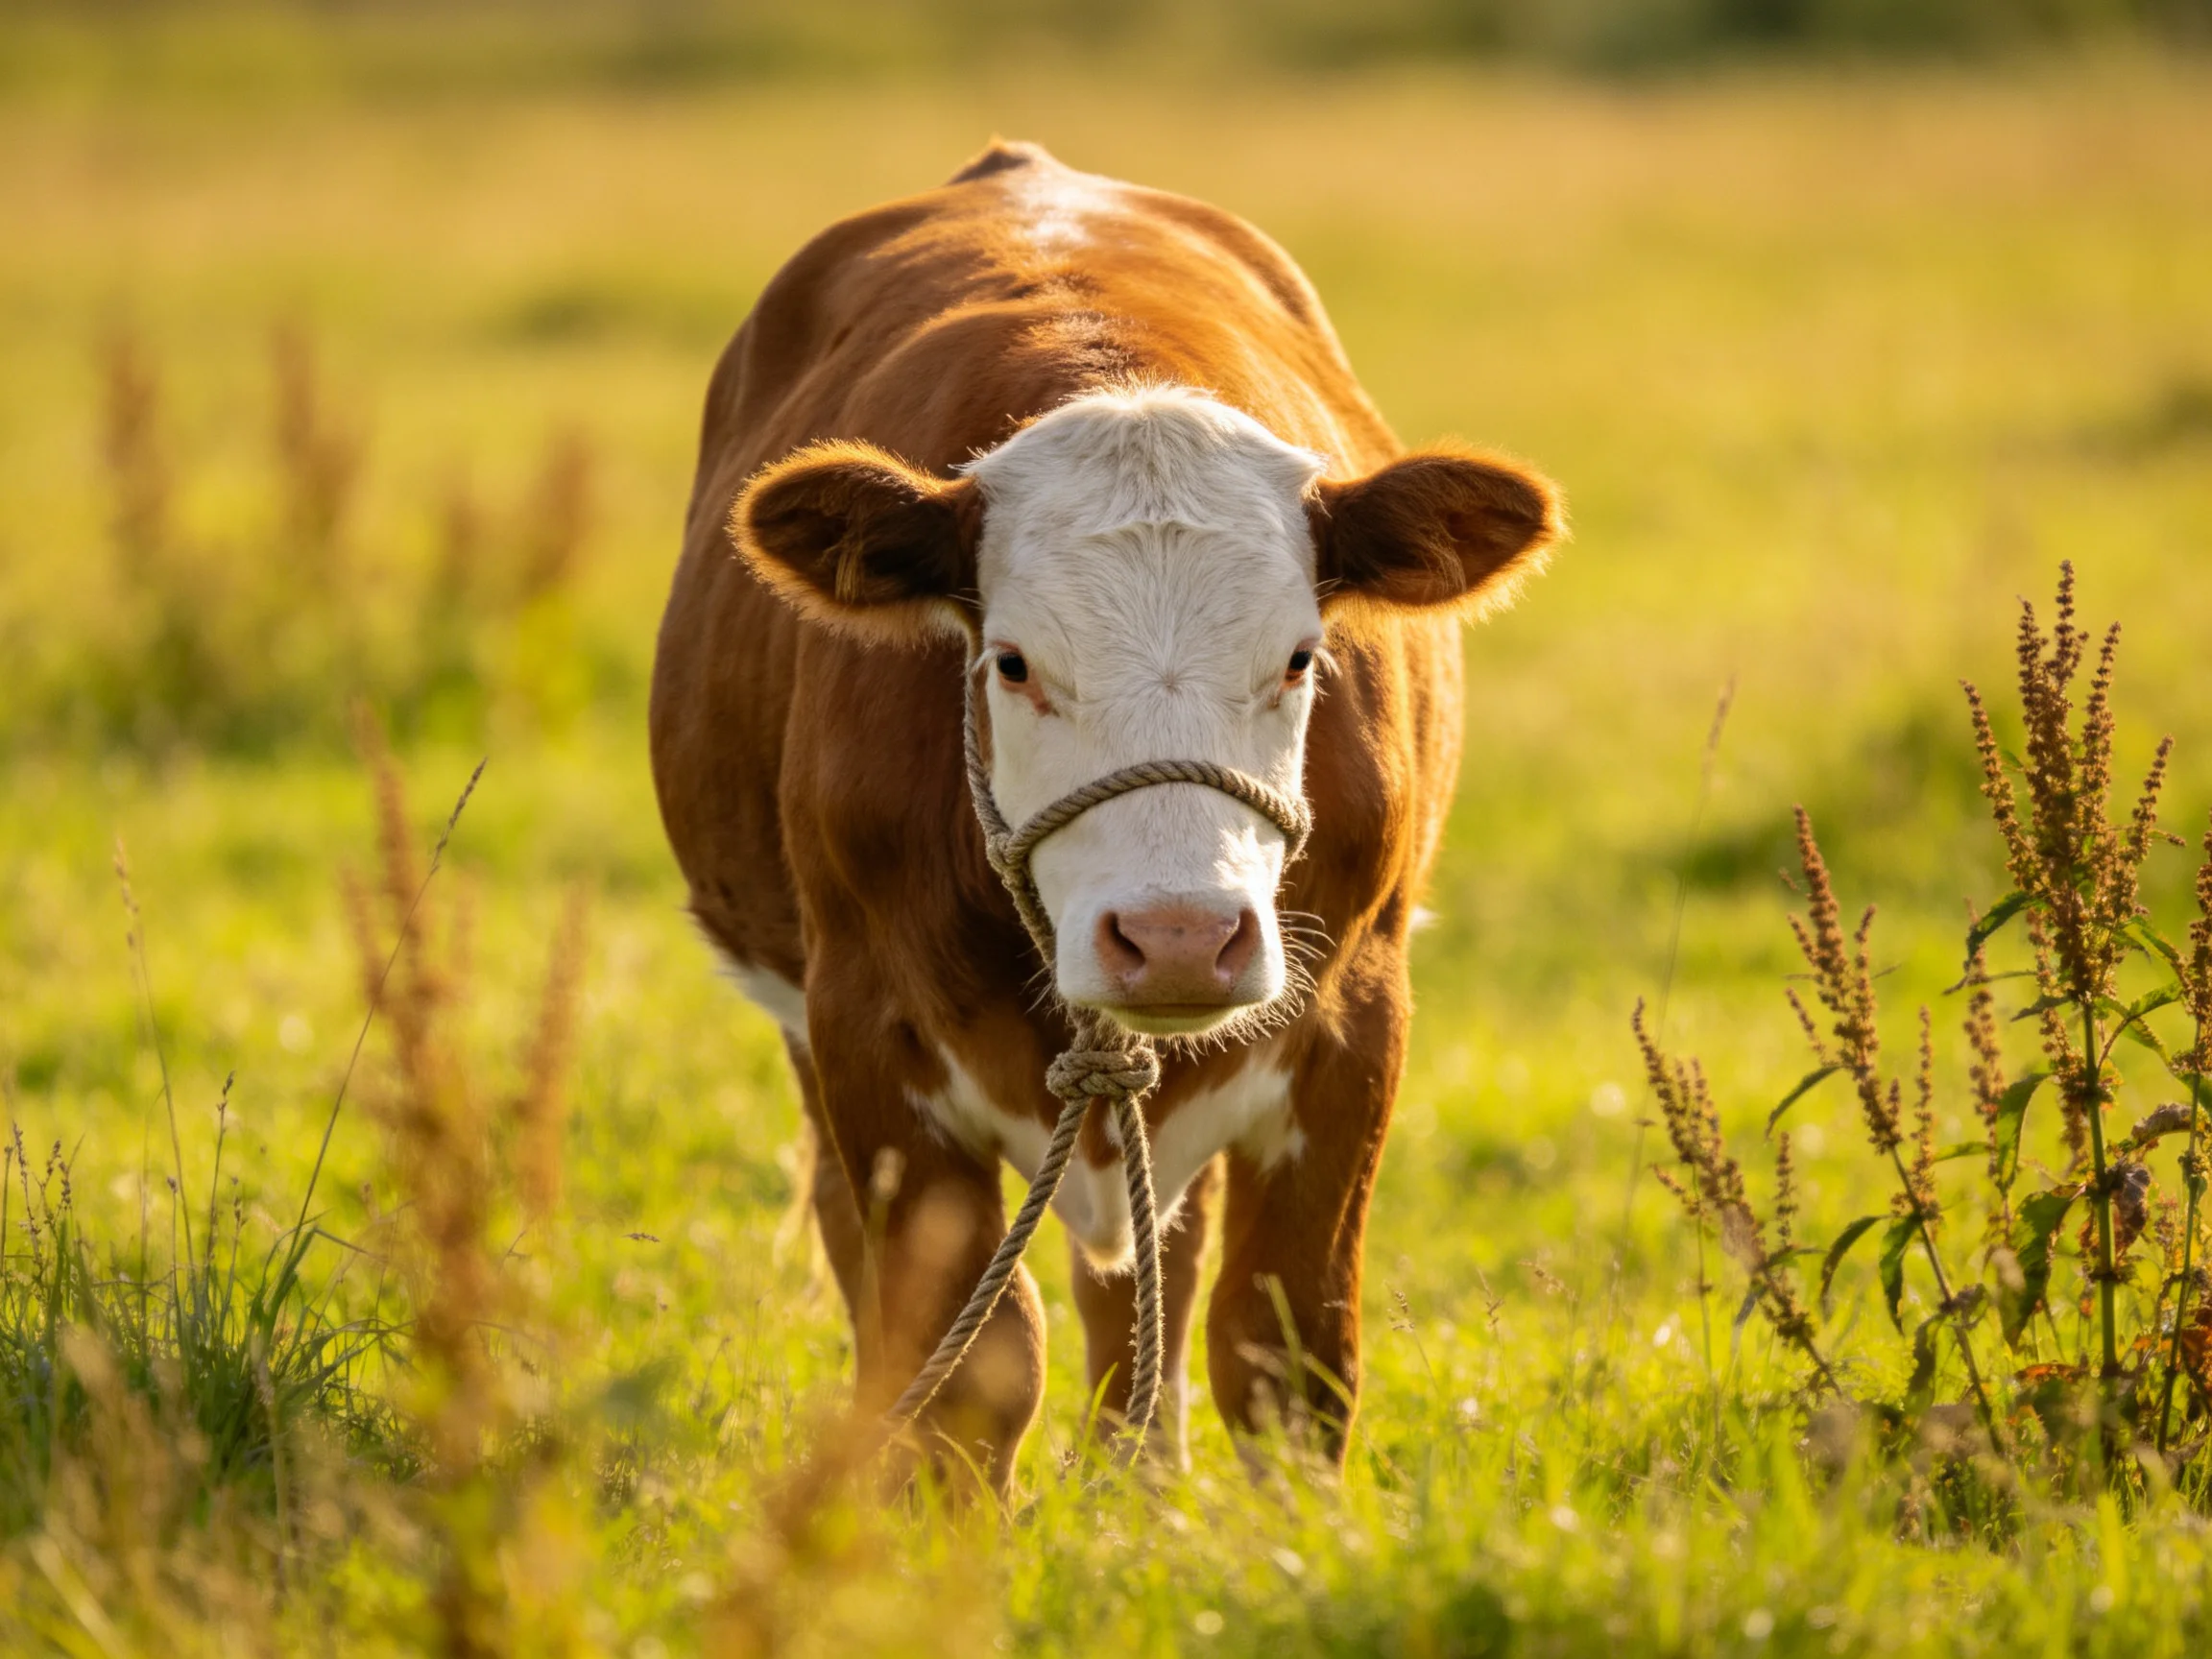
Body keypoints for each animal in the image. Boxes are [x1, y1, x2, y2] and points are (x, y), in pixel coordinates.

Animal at [650, 139, 1560, 1491]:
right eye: (1014, 662)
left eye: (1301, 657)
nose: (1180, 937)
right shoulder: (864, 1026)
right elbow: (968, 1367)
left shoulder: (1356, 1014)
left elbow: (1284, 1351)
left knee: (1152, 1276)